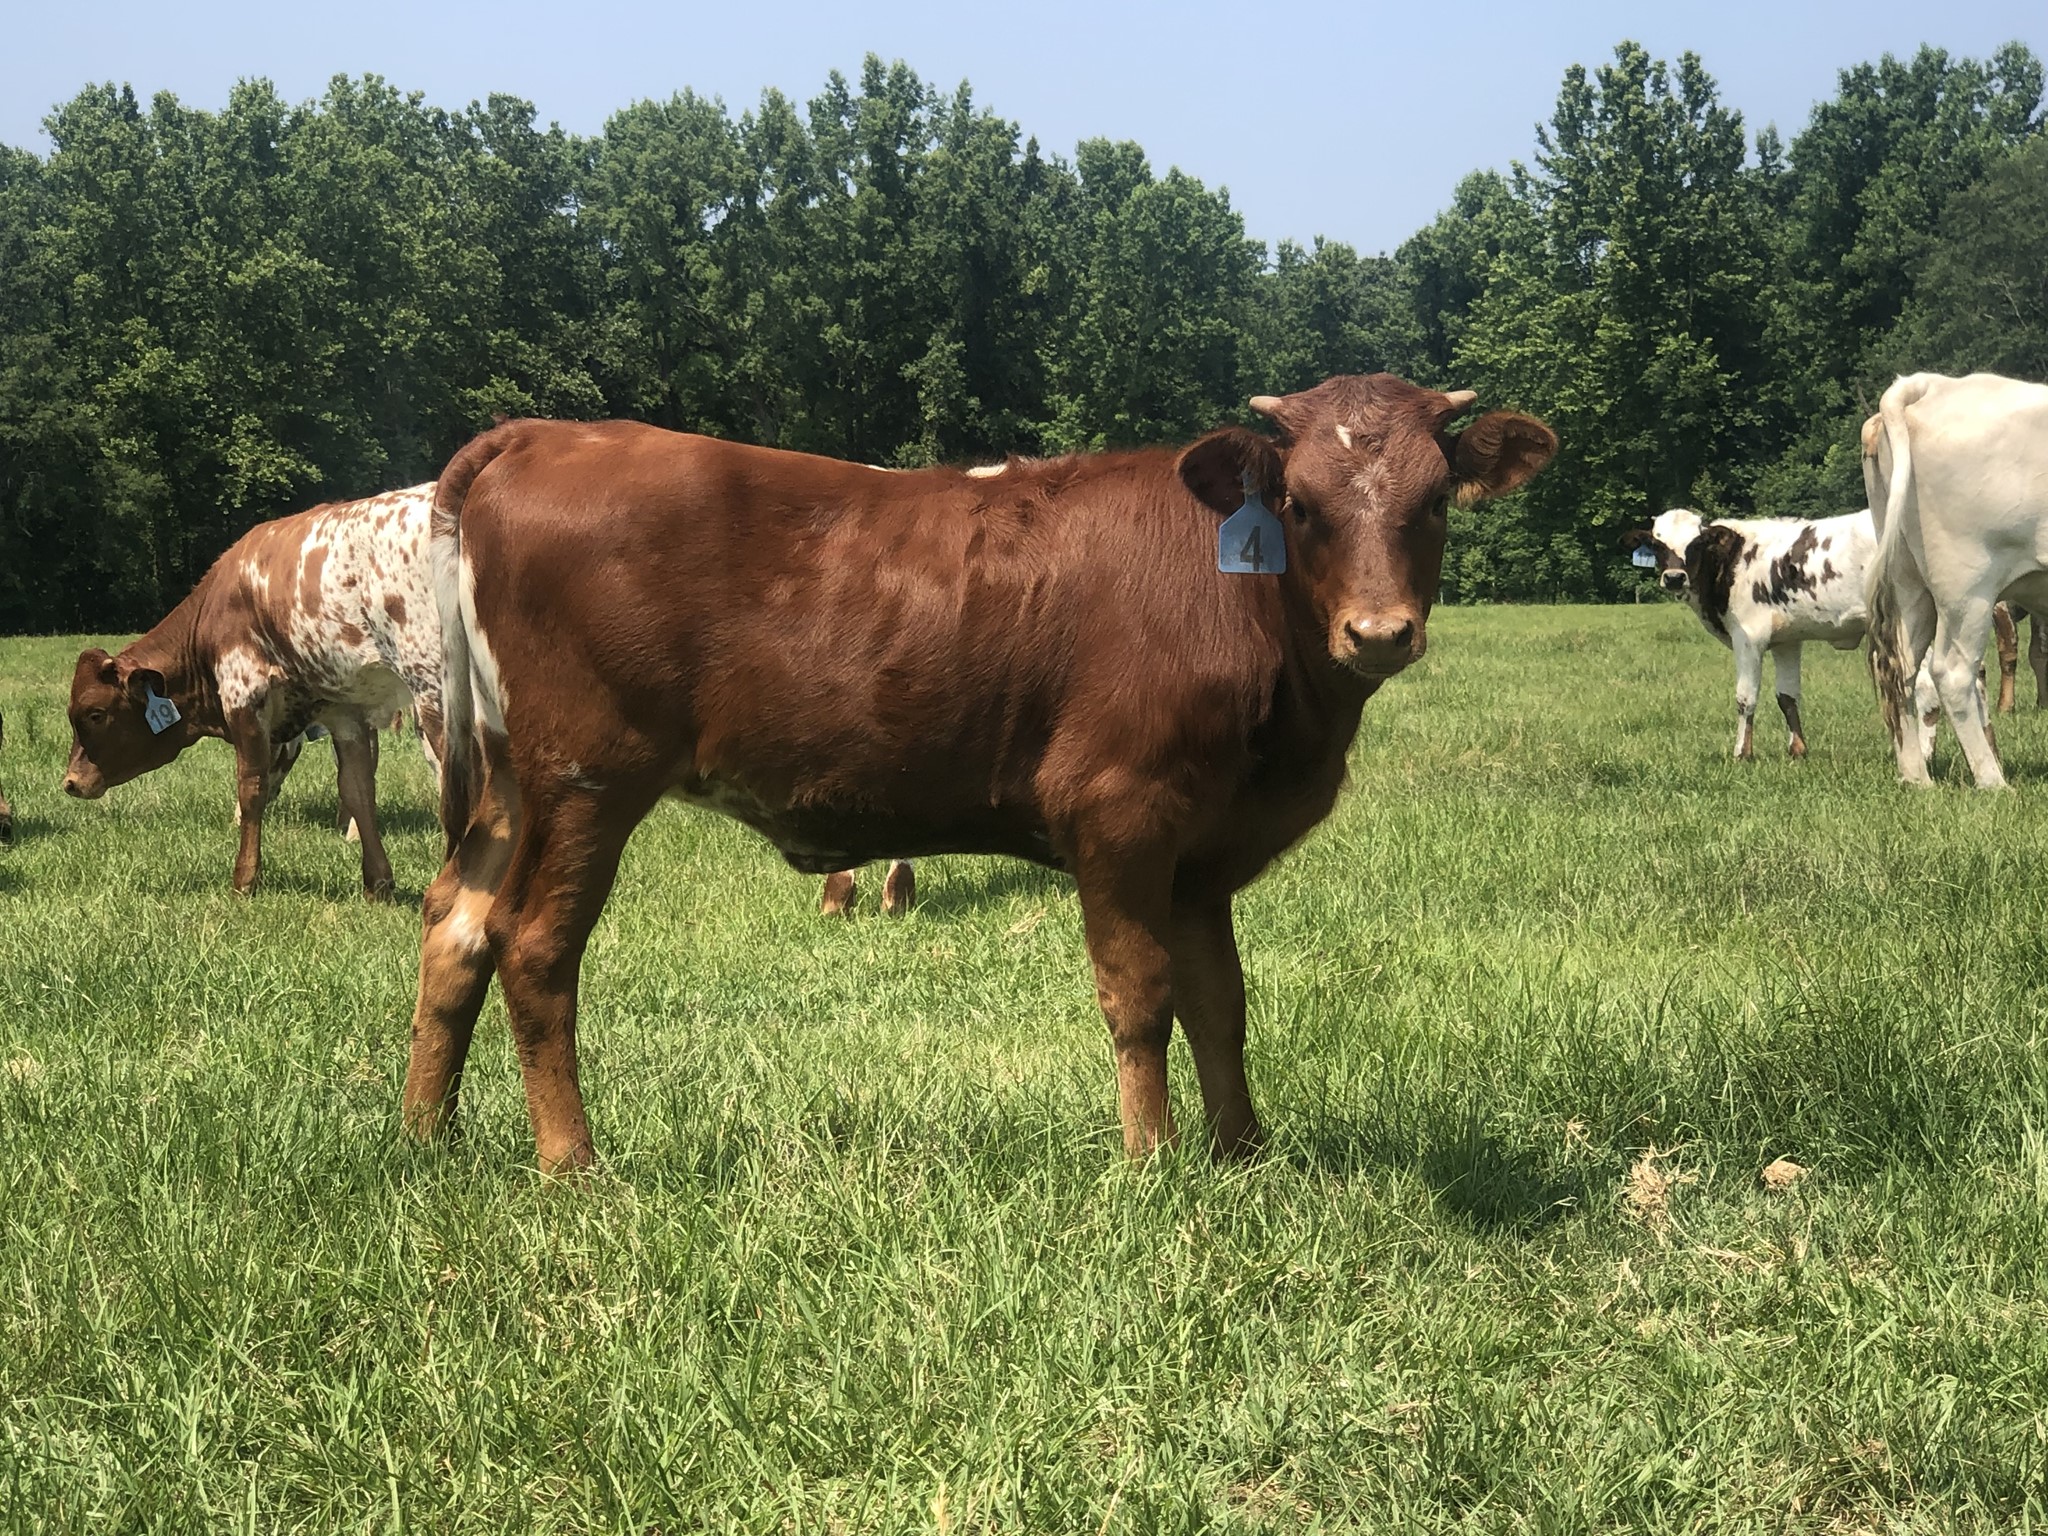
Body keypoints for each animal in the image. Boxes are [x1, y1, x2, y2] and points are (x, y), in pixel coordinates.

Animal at [62, 485, 445, 894]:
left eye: (95, 714)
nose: (71, 782)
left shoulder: (244, 695)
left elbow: (252, 787)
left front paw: (244, 879)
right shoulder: (343, 712)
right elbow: (357, 789)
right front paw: (378, 882)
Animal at [400, 374, 1557, 1172]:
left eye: (1434, 502)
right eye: (1303, 506)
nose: (1379, 632)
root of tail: (549, 433)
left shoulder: (1202, 851)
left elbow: (1219, 1001)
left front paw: (1242, 1153)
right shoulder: (1119, 813)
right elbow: (1140, 994)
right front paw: (1151, 1163)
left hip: (509, 783)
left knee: (455, 924)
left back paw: (425, 1138)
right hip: (587, 777)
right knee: (534, 947)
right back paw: (572, 1164)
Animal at [1621, 507, 1942, 760]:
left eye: (1697, 543)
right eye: (1656, 544)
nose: (1674, 578)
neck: (1733, 560)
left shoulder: (1748, 638)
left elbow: (1745, 697)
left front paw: (1742, 753)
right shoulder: (1787, 640)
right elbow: (1787, 697)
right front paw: (1798, 750)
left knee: (1928, 694)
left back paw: (1923, 757)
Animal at [1865, 371, 2048, 789]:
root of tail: (1933, 384)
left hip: (1908, 580)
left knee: (1900, 669)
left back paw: (1917, 778)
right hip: (1968, 585)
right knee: (1951, 672)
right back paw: (1993, 781)